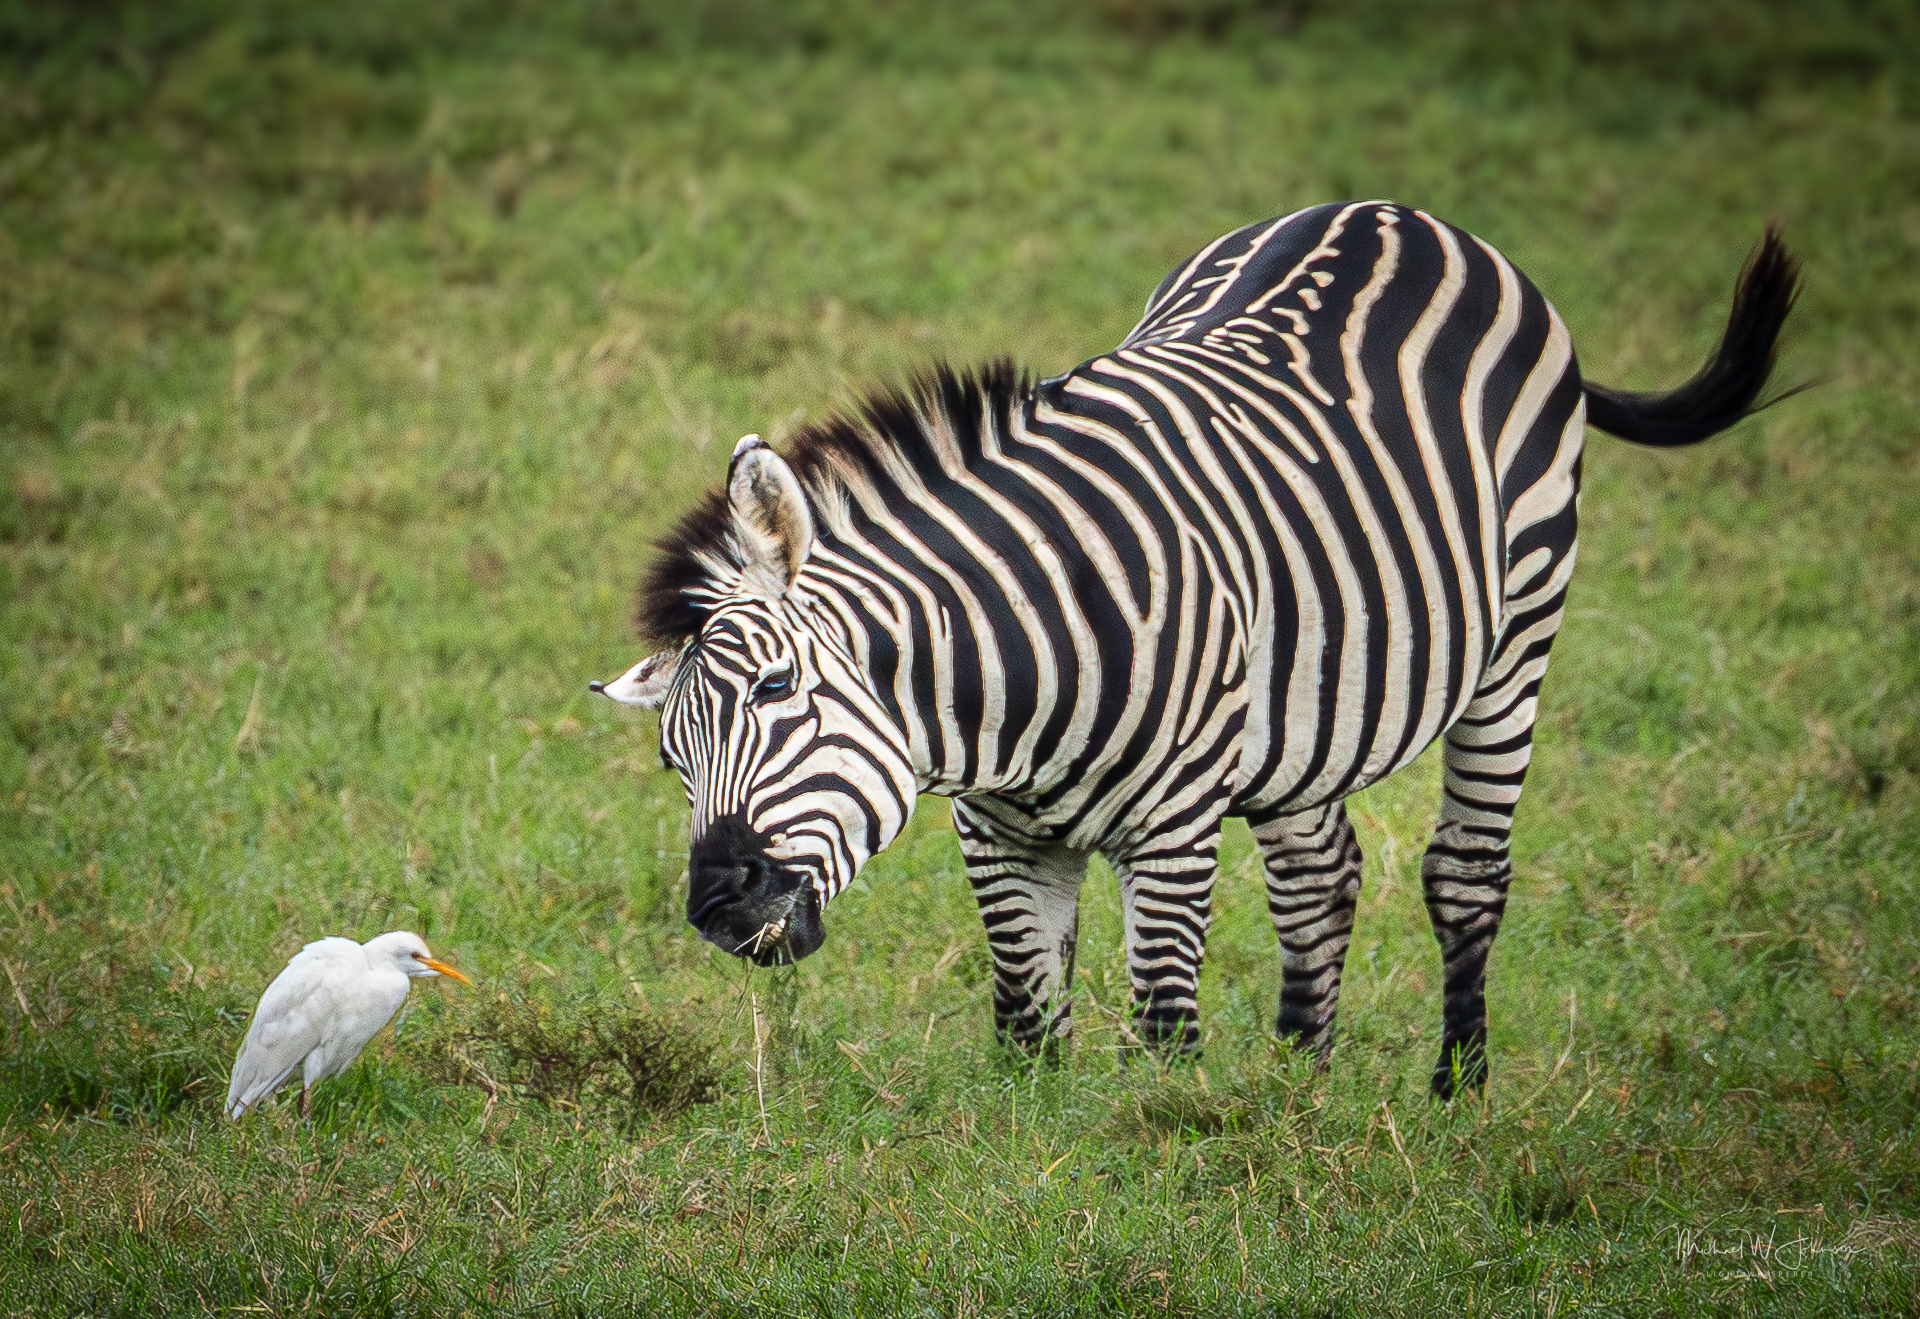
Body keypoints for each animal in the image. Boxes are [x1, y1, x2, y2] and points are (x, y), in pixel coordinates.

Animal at [594, 201, 1799, 1096]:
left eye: (780, 686)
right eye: (670, 758)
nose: (717, 908)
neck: (1004, 693)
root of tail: (1403, 214)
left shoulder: (1172, 829)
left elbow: (1163, 1031)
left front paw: (1171, 1173)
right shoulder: (998, 835)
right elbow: (1026, 1026)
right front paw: (1035, 1169)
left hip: (1520, 634)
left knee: (1465, 870)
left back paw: (1457, 1093)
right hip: (1306, 703)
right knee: (1322, 872)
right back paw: (1298, 1083)